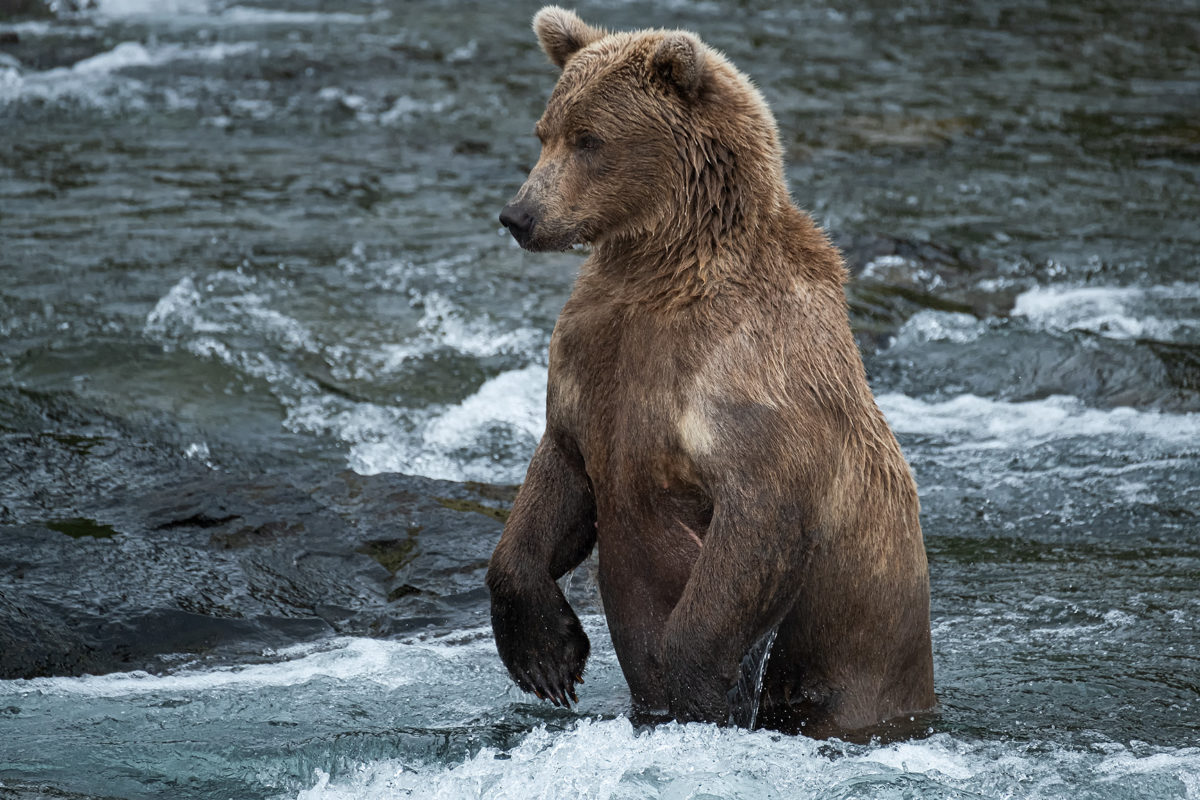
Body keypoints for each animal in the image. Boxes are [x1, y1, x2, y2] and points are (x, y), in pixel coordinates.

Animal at [485, 6, 935, 737]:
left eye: (590, 139)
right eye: (544, 132)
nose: (520, 214)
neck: (663, 270)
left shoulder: (749, 387)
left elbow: (752, 538)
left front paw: (698, 691)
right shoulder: (593, 364)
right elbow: (553, 487)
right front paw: (549, 659)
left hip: (863, 663)